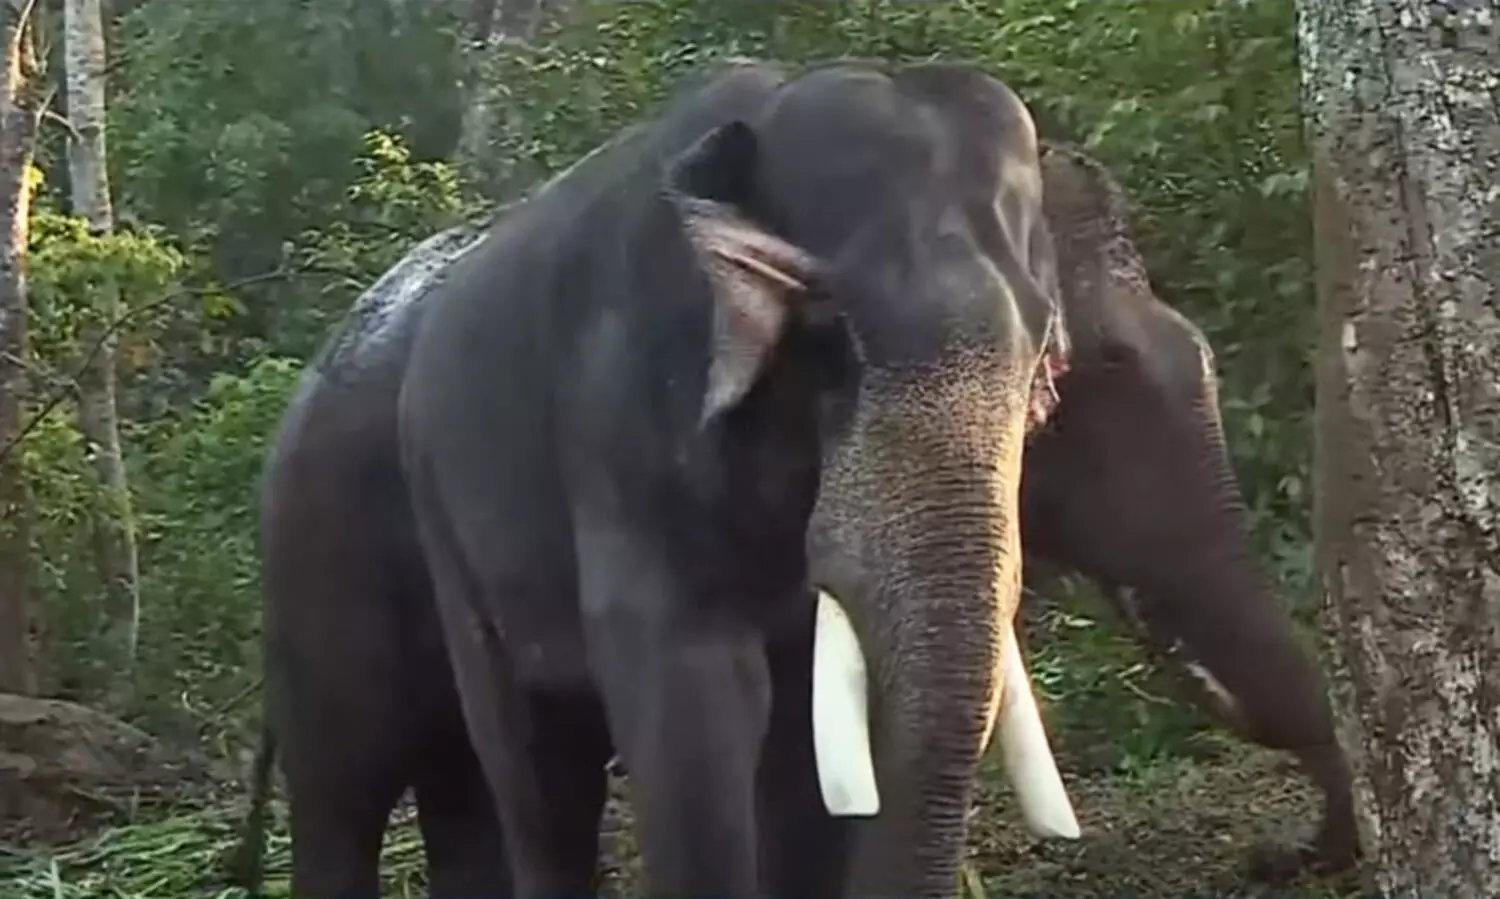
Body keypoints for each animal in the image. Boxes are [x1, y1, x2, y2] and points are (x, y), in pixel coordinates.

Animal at [232, 67, 1358, 899]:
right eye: (828, 339)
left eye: (1045, 374)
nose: (1282, 852)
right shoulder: (625, 439)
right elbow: (698, 724)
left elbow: (811, 763)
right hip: (360, 546)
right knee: (436, 786)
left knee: (468, 793)